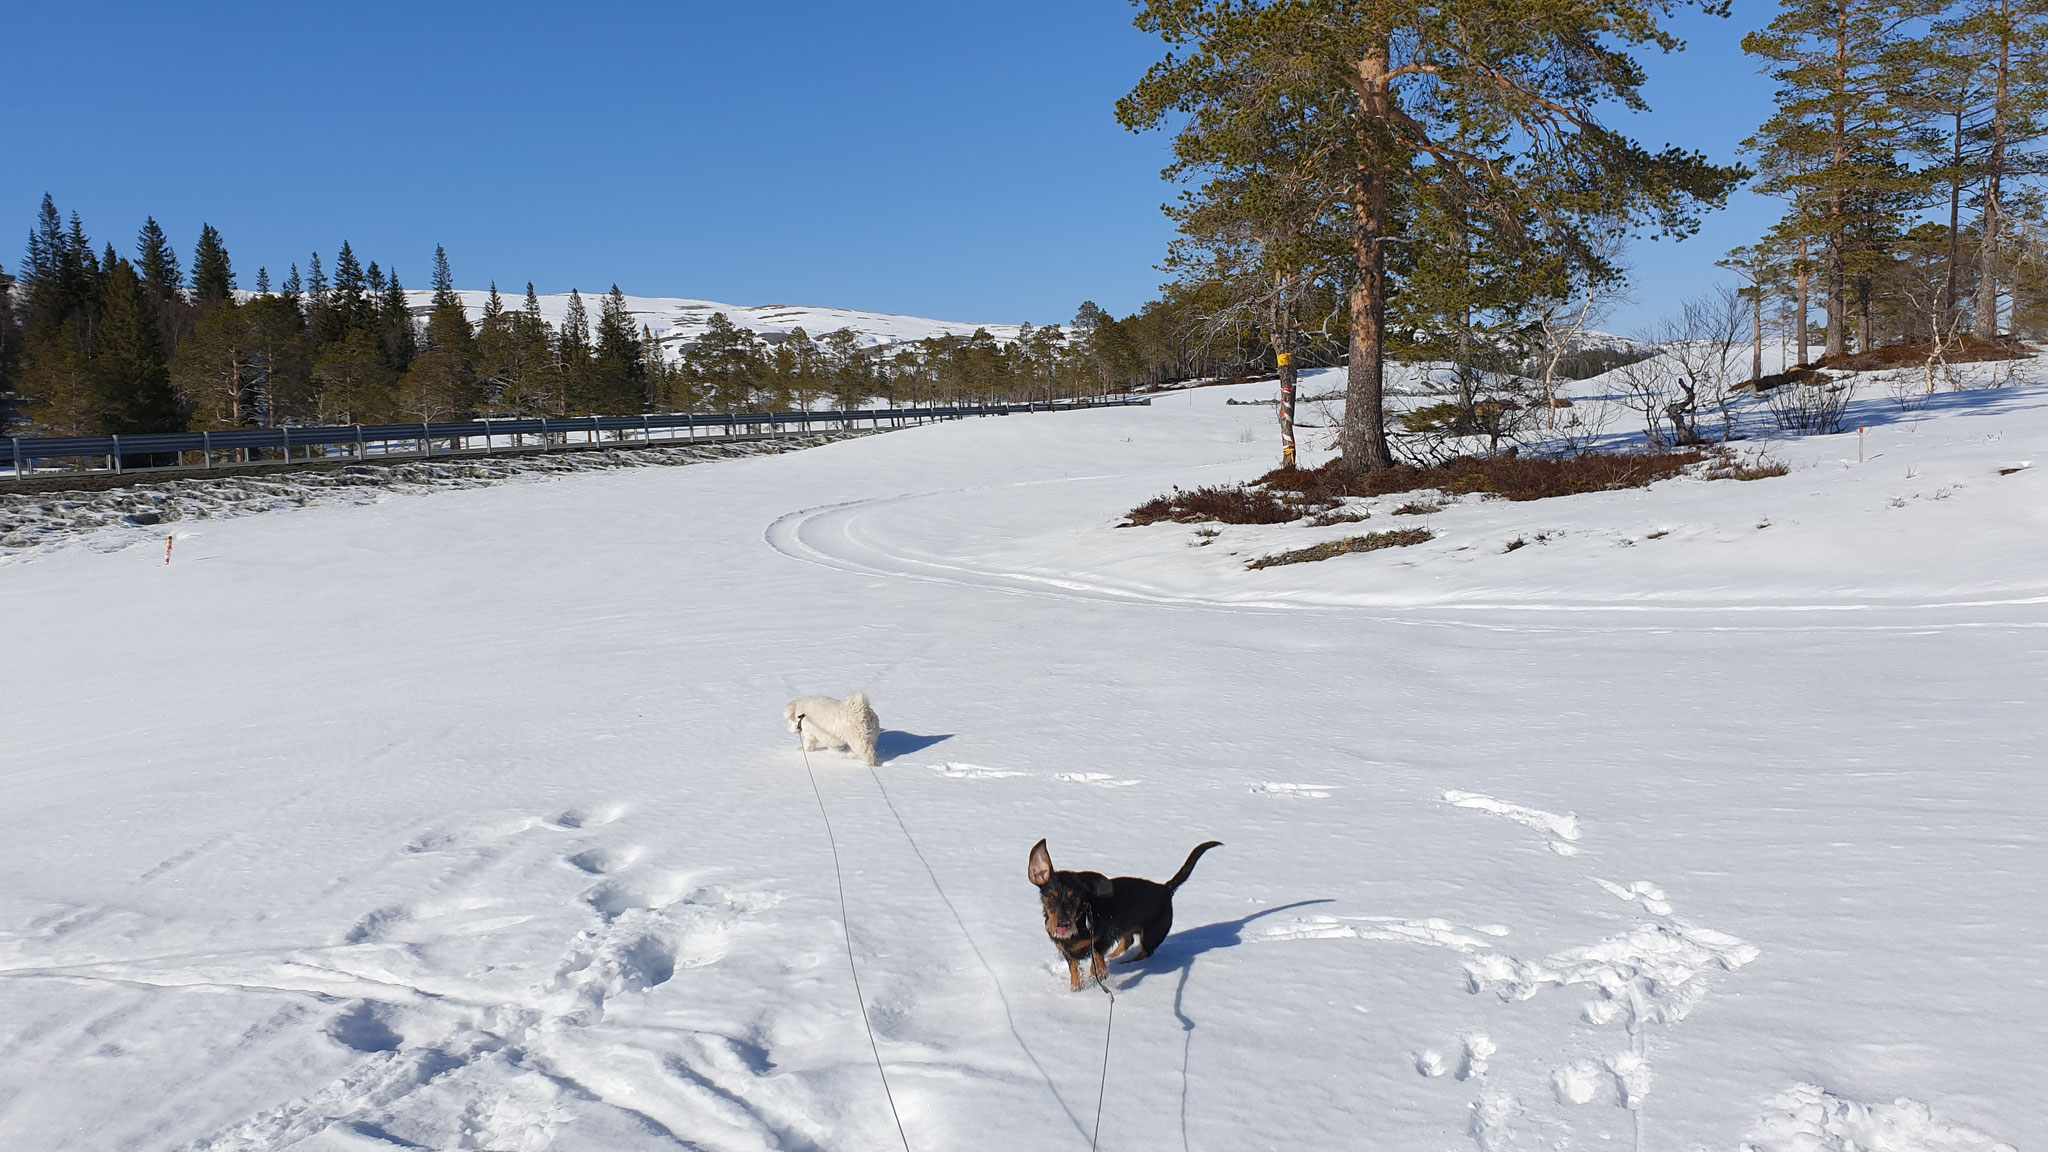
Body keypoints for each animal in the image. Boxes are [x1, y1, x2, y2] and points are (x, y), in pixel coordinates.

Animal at [1024, 832, 1212, 988]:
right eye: (1051, 897)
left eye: (1074, 897)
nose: (1062, 924)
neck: (1080, 921)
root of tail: (1166, 889)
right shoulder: (1066, 951)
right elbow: (1074, 969)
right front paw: (1076, 988)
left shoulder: (1103, 937)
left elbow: (1096, 954)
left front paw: (1099, 973)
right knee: (1128, 941)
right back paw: (1115, 958)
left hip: (1152, 935)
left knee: (1144, 952)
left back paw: (1127, 963)